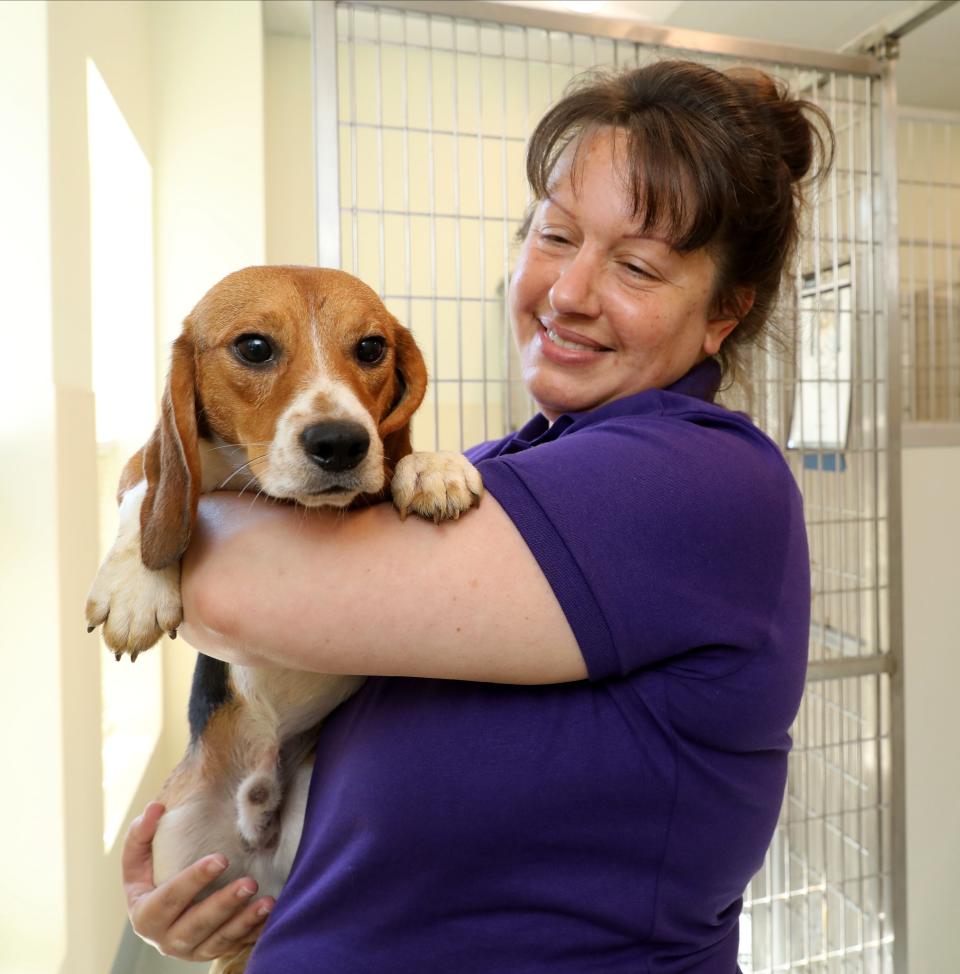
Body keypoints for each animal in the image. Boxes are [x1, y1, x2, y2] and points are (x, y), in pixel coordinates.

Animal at [86, 266, 484, 974]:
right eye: (253, 347)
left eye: (372, 348)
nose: (342, 443)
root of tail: (258, 819)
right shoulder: (149, 465)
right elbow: (147, 491)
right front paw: (136, 586)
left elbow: (404, 458)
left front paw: (432, 465)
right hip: (176, 855)